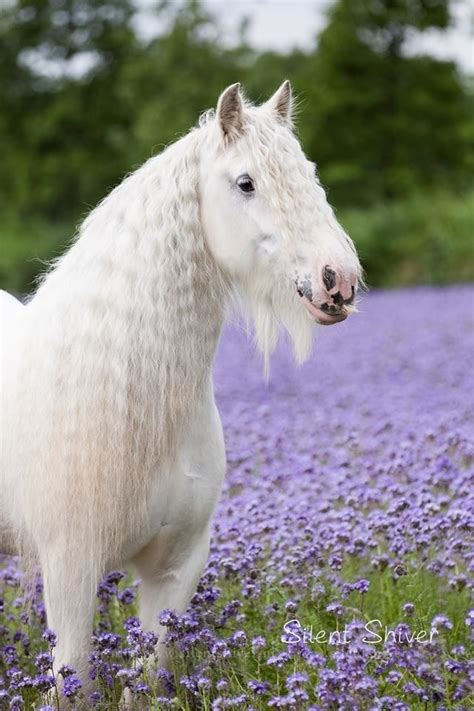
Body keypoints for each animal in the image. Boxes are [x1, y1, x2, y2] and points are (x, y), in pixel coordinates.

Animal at [0, 79, 362, 700]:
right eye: (246, 183)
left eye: (310, 173)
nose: (338, 280)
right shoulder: (70, 568)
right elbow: (73, 678)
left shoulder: (176, 568)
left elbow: (149, 678)